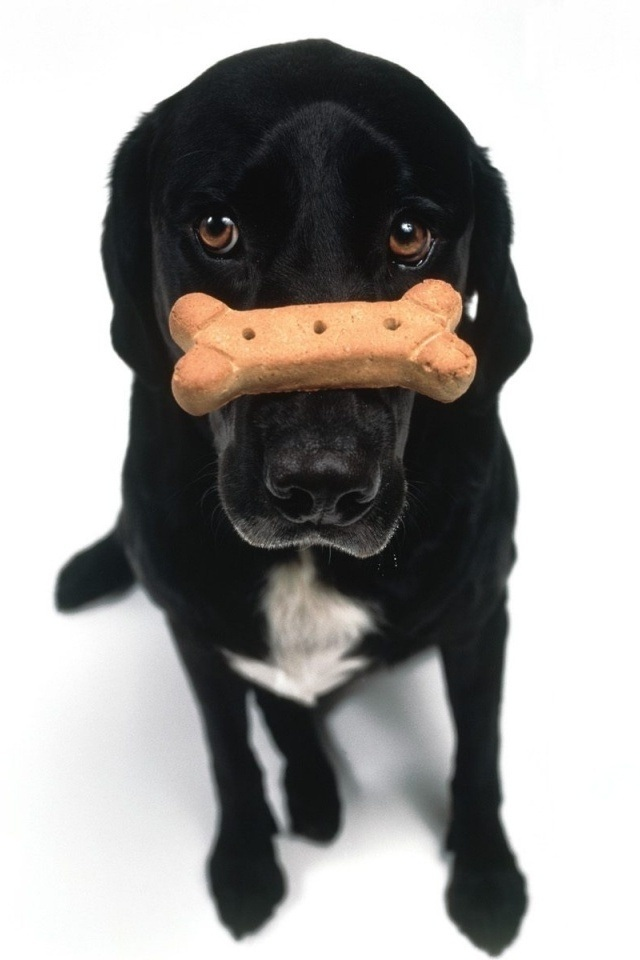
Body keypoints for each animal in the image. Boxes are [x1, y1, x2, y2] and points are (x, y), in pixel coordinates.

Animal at [58, 41, 528, 956]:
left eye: (410, 235)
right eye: (217, 228)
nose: (321, 482)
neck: (308, 562)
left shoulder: (481, 614)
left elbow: (482, 751)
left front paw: (487, 878)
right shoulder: (197, 635)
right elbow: (230, 756)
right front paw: (245, 865)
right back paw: (309, 793)